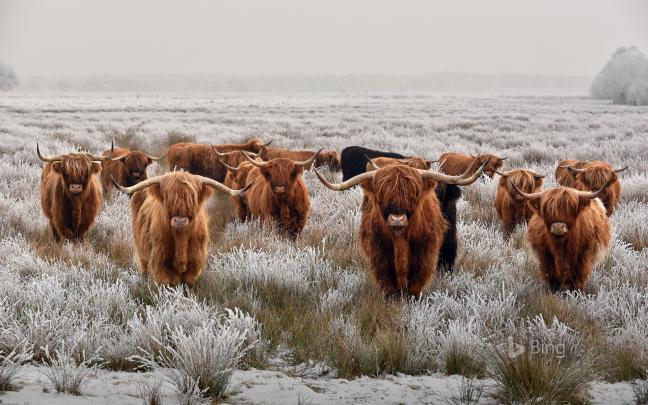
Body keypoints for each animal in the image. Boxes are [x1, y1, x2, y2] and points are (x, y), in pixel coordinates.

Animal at [111, 172, 250, 286]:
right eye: (168, 198)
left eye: (192, 198)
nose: (180, 221)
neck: (181, 239)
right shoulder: (160, 263)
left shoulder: (194, 264)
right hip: (142, 254)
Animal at [314, 160, 487, 296]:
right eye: (382, 196)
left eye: (414, 194)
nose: (397, 220)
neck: (400, 240)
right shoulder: (379, 255)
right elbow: (388, 283)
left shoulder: (424, 255)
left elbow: (415, 284)